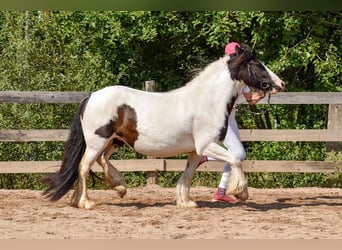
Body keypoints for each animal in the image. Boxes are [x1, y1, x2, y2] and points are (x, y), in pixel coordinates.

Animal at [42, 44, 284, 208]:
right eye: (257, 65)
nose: (280, 84)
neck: (207, 101)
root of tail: (91, 97)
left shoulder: (196, 151)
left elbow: (188, 174)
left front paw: (186, 202)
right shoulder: (207, 145)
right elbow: (235, 160)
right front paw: (241, 193)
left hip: (114, 141)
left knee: (100, 161)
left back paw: (113, 188)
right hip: (97, 141)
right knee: (84, 167)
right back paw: (86, 202)